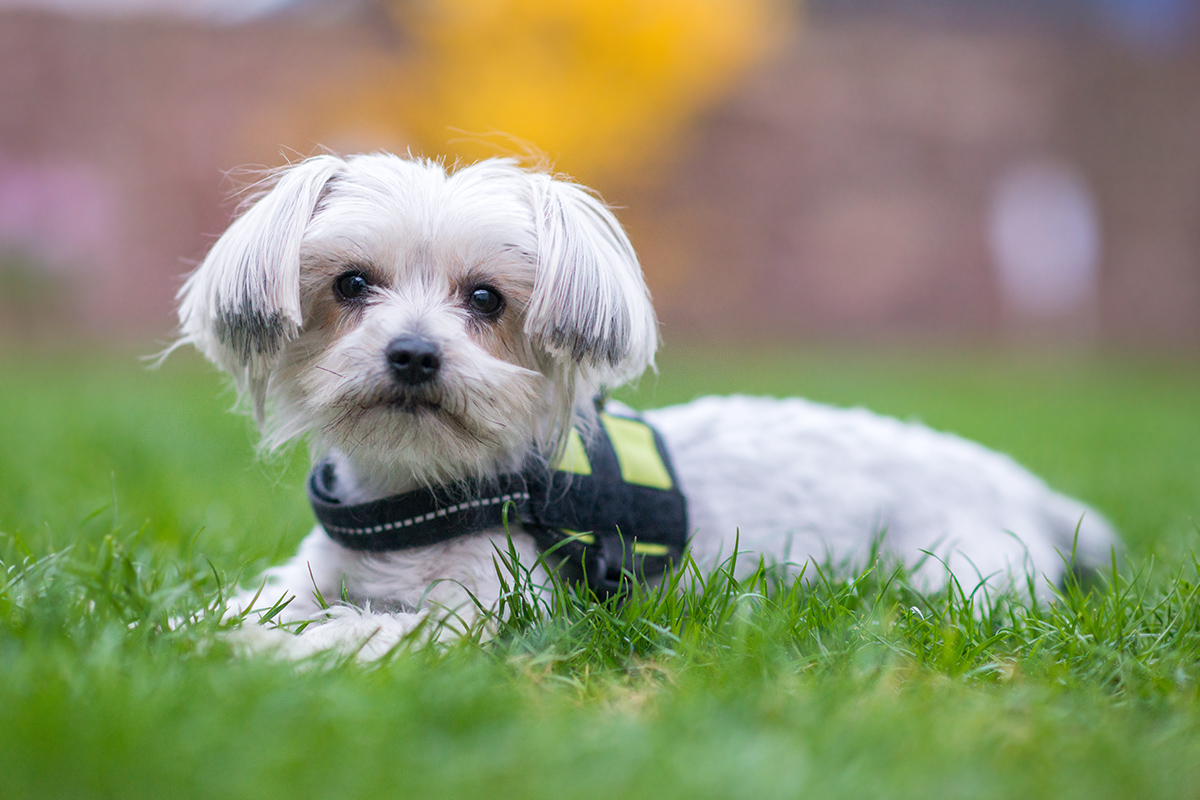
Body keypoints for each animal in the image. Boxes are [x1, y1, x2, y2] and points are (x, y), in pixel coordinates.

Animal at [178, 153, 1118, 659]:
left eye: (485, 298)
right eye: (351, 285)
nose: (412, 353)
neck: (423, 495)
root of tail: (1012, 481)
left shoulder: (485, 611)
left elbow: (361, 633)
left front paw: (262, 650)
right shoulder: (317, 574)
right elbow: (261, 602)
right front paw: (203, 624)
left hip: (959, 575)